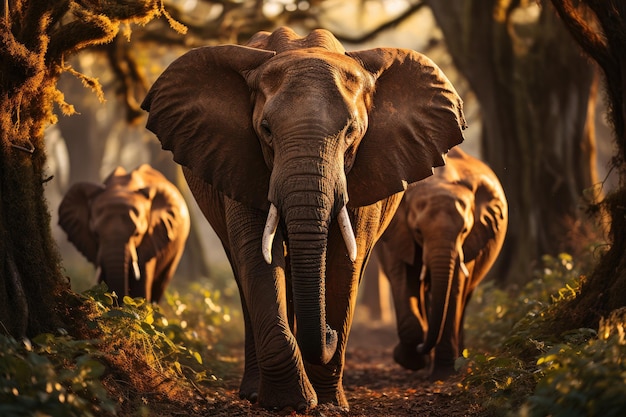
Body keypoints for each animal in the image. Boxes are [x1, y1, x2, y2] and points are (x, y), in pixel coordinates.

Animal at [140, 26, 464, 412]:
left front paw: (330, 403)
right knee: (241, 270)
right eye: (265, 129)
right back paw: (254, 391)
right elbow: (258, 259)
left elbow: (343, 263)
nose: (328, 332)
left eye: (351, 132)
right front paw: (289, 402)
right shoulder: (241, 161)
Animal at [372, 147, 504, 380]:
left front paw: (444, 374)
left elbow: (454, 288)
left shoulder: (469, 242)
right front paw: (411, 361)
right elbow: (404, 278)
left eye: (464, 231)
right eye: (418, 231)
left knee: (463, 298)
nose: (421, 347)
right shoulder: (399, 233)